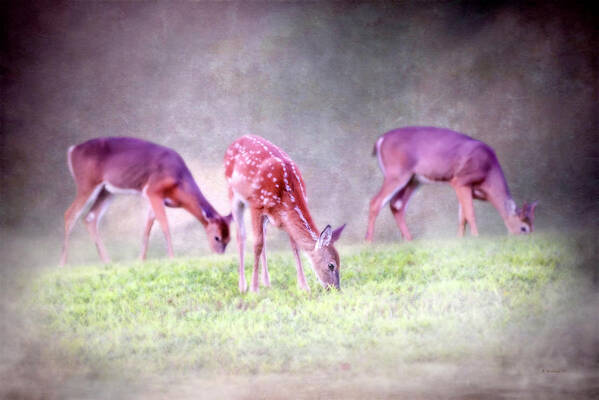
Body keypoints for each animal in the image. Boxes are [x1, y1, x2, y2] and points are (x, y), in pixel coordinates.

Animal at [58, 137, 232, 266]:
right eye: (216, 237)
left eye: (229, 239)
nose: (219, 255)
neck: (179, 182)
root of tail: (72, 150)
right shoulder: (153, 190)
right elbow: (164, 225)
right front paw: (171, 258)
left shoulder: (154, 198)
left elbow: (147, 228)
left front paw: (141, 260)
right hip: (86, 183)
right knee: (69, 214)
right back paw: (62, 265)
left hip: (106, 190)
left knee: (90, 217)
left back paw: (107, 261)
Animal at [225, 136, 346, 292]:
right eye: (331, 265)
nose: (336, 289)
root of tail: (239, 139)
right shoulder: (256, 205)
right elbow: (257, 244)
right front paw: (254, 289)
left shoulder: (281, 217)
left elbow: (294, 246)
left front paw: (304, 287)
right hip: (233, 194)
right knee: (241, 235)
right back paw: (242, 285)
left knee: (263, 238)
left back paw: (267, 282)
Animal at [366, 126, 540, 242]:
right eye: (523, 228)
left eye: (533, 228)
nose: (529, 240)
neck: (488, 176)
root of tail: (379, 141)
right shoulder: (460, 180)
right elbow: (470, 214)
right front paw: (477, 238)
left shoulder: (467, 189)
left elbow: (462, 217)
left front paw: (460, 240)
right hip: (397, 173)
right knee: (376, 202)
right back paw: (368, 241)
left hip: (414, 179)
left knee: (397, 204)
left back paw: (409, 239)